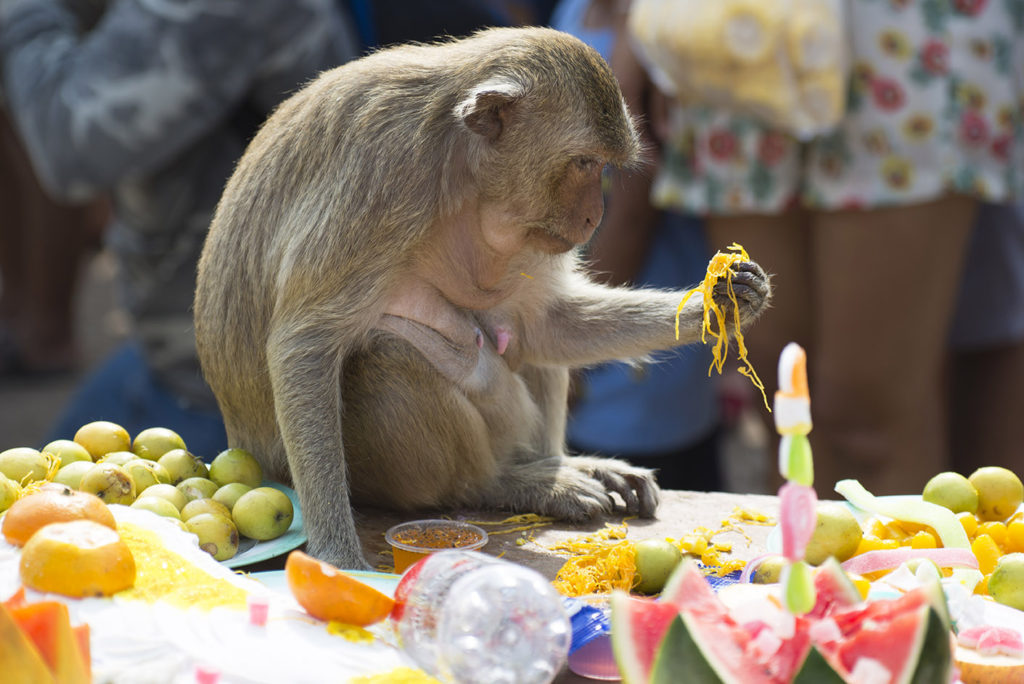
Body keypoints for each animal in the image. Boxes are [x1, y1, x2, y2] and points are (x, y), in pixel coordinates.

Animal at [193, 26, 770, 569]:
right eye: (584, 162)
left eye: (602, 165)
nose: (594, 216)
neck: (459, 169)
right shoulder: (380, 172)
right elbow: (305, 343)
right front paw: (339, 557)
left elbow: (547, 326)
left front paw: (725, 300)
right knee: (384, 359)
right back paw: (502, 482)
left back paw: (558, 464)